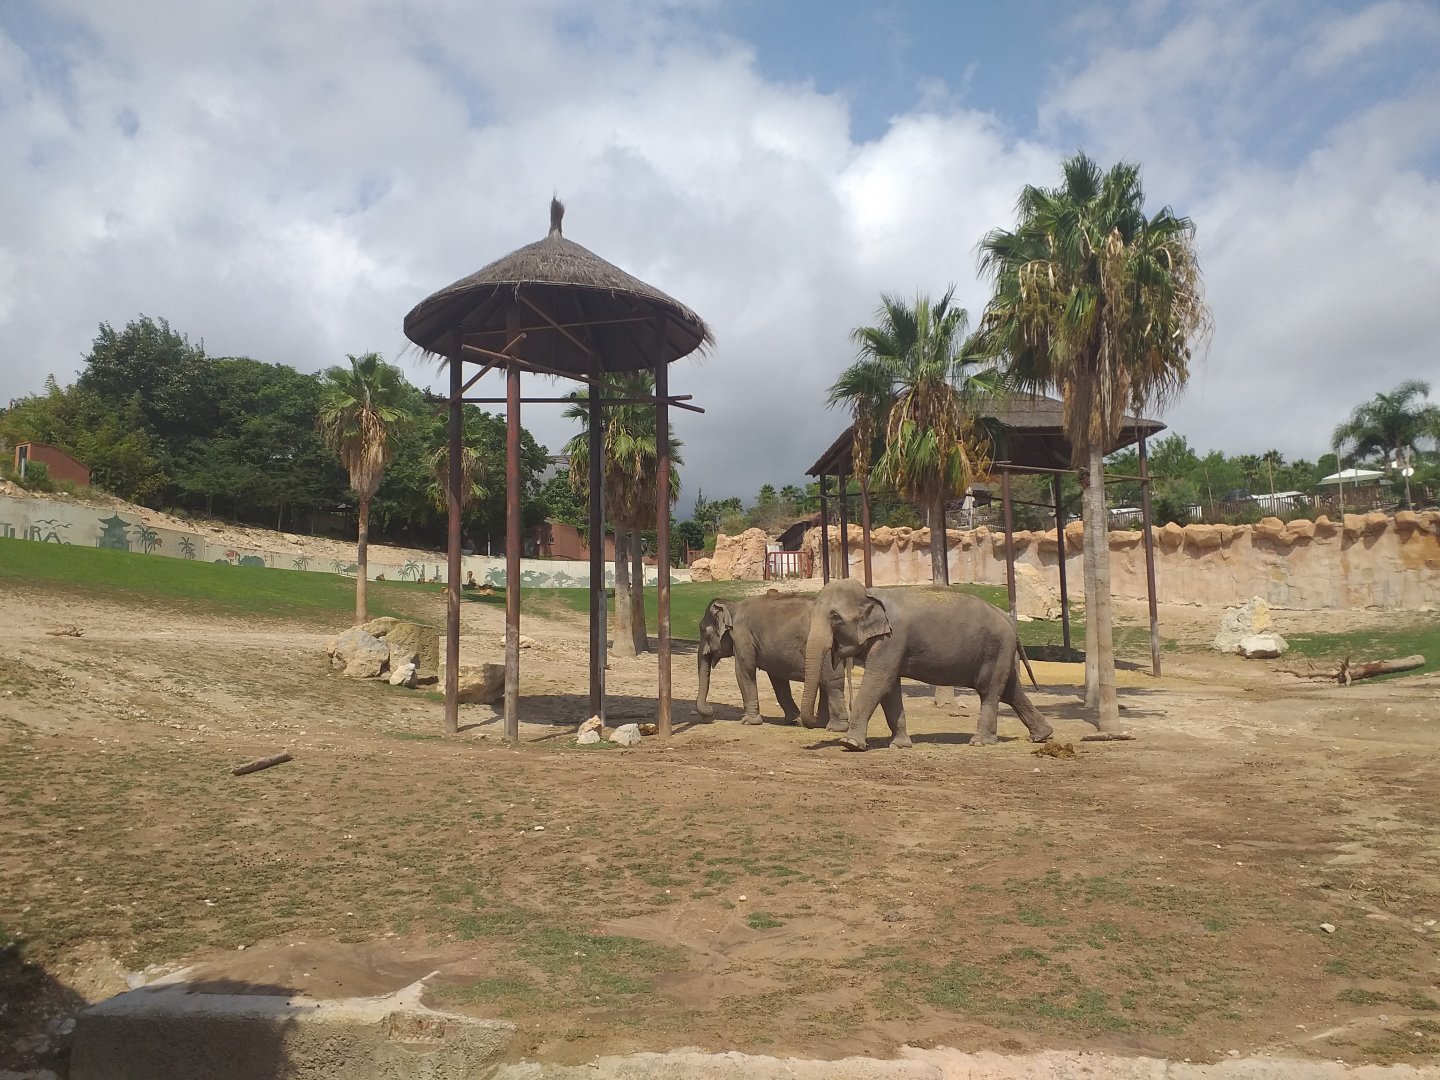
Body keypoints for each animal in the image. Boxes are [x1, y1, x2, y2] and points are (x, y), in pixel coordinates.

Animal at [696, 593, 849, 729]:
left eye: (702, 630)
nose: (710, 712)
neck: (733, 606)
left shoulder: (743, 638)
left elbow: (744, 671)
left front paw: (748, 722)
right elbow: (777, 679)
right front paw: (793, 720)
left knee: (832, 681)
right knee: (826, 683)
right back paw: (822, 723)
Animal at [799, 579, 1052, 751]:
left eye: (835, 618)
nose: (817, 722)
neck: (869, 593)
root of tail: (1008, 620)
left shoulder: (891, 640)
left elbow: (878, 681)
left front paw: (850, 744)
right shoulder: (891, 646)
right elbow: (889, 688)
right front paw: (900, 745)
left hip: (996, 649)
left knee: (990, 691)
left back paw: (980, 742)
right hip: (1001, 652)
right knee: (1010, 691)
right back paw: (1042, 736)